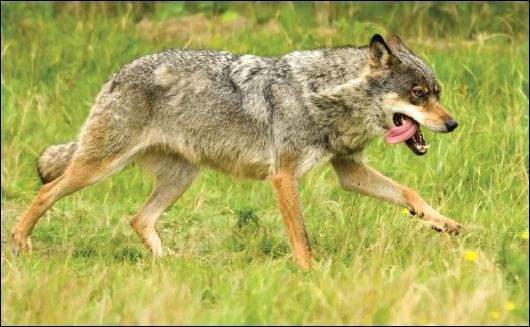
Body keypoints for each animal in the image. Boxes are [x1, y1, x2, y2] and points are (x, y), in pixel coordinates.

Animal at [11, 34, 458, 270]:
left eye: (437, 94)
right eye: (418, 95)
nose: (453, 124)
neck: (324, 94)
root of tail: (115, 75)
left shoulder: (348, 172)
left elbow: (410, 193)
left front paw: (443, 222)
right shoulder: (284, 177)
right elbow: (301, 235)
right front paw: (311, 272)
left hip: (181, 178)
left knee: (139, 219)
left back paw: (171, 265)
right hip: (99, 167)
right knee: (46, 192)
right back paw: (21, 245)